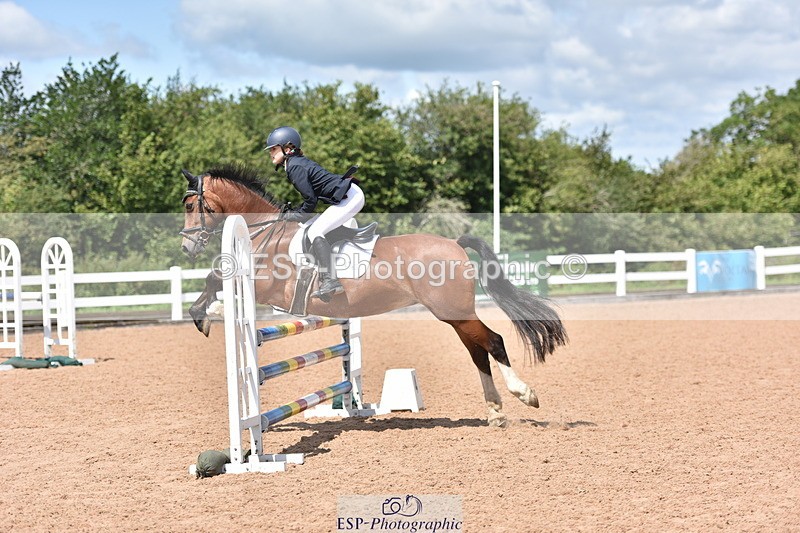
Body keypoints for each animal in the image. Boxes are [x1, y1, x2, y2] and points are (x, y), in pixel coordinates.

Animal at [180, 163, 567, 427]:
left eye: (187, 204)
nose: (186, 247)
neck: (262, 232)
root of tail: (454, 242)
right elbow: (215, 276)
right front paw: (207, 311)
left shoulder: (268, 285)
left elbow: (216, 275)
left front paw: (204, 315)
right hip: (454, 316)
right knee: (478, 352)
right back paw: (495, 412)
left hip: (452, 311)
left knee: (494, 341)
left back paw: (524, 395)